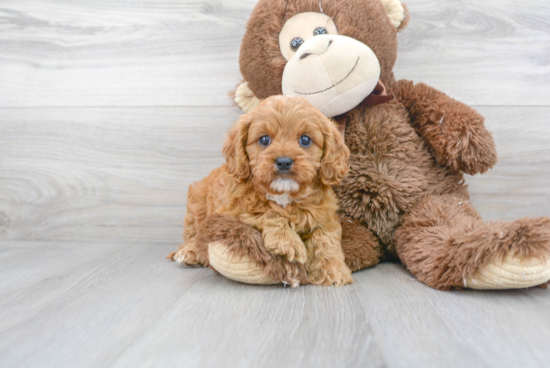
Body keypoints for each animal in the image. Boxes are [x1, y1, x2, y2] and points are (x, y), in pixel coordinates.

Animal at [168, 96, 356, 286]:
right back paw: (189, 252)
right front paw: (287, 242)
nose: (284, 161)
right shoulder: (233, 211)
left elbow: (325, 240)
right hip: (197, 206)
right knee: (195, 236)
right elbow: (268, 212)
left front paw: (332, 269)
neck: (284, 196)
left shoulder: (325, 217)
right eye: (264, 140)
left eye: (305, 140)